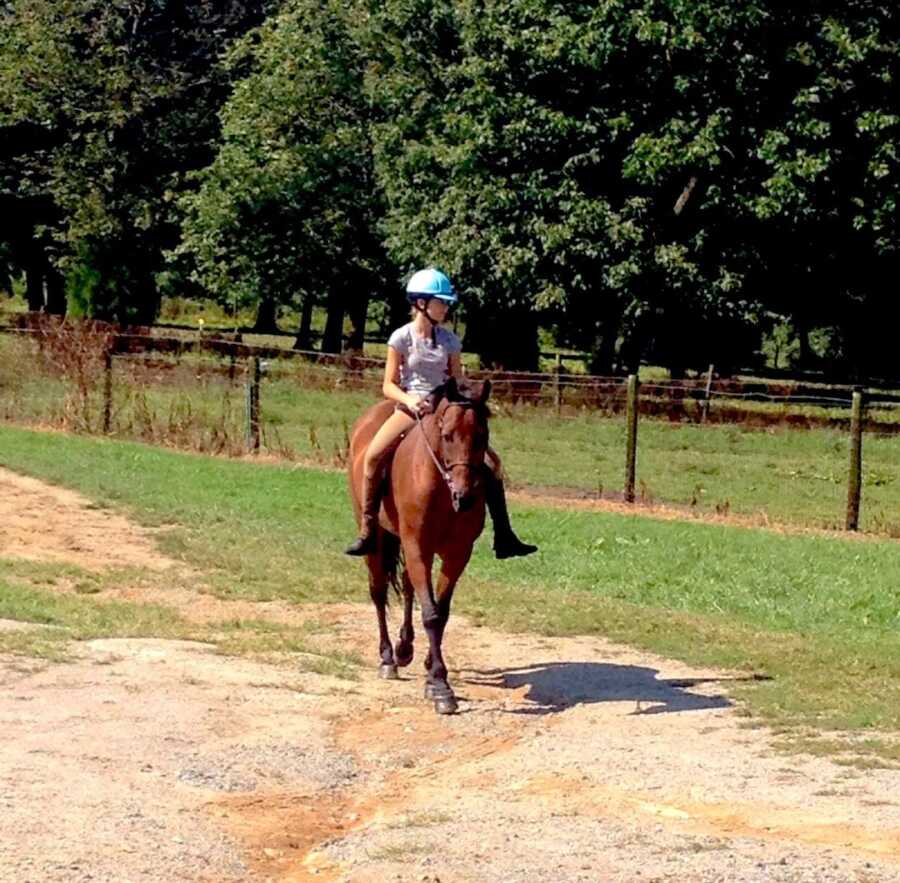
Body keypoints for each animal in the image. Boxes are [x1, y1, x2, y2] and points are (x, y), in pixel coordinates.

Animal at [350, 376, 492, 716]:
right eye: (447, 435)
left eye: (482, 436)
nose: (465, 497)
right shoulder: (418, 547)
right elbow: (430, 613)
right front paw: (440, 686)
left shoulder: (457, 554)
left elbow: (441, 611)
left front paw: (430, 667)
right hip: (376, 540)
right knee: (378, 592)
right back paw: (388, 658)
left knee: (407, 587)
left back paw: (405, 648)